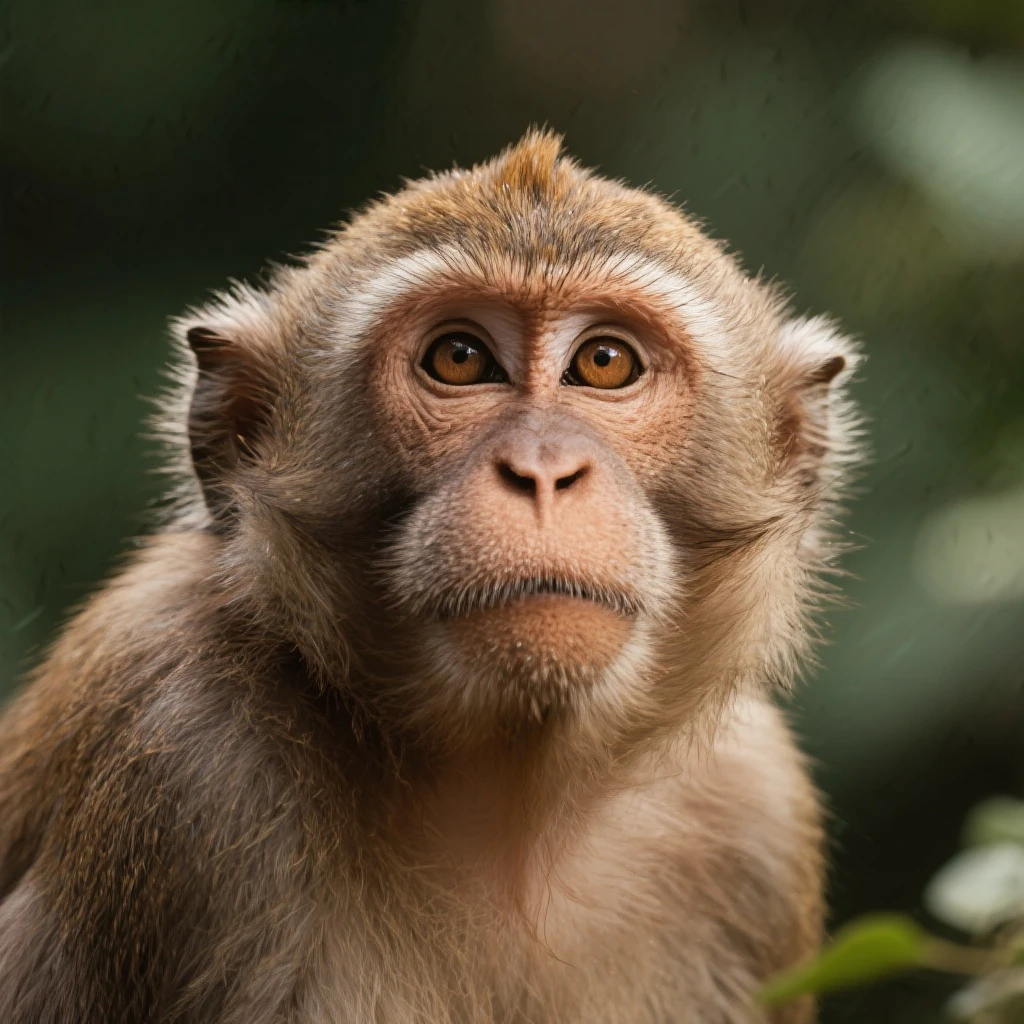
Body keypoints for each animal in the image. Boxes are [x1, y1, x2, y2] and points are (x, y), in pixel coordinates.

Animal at [0, 129, 860, 1024]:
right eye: (459, 357)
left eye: (605, 362)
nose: (543, 471)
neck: (516, 817)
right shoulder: (182, 758)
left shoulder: (755, 814)